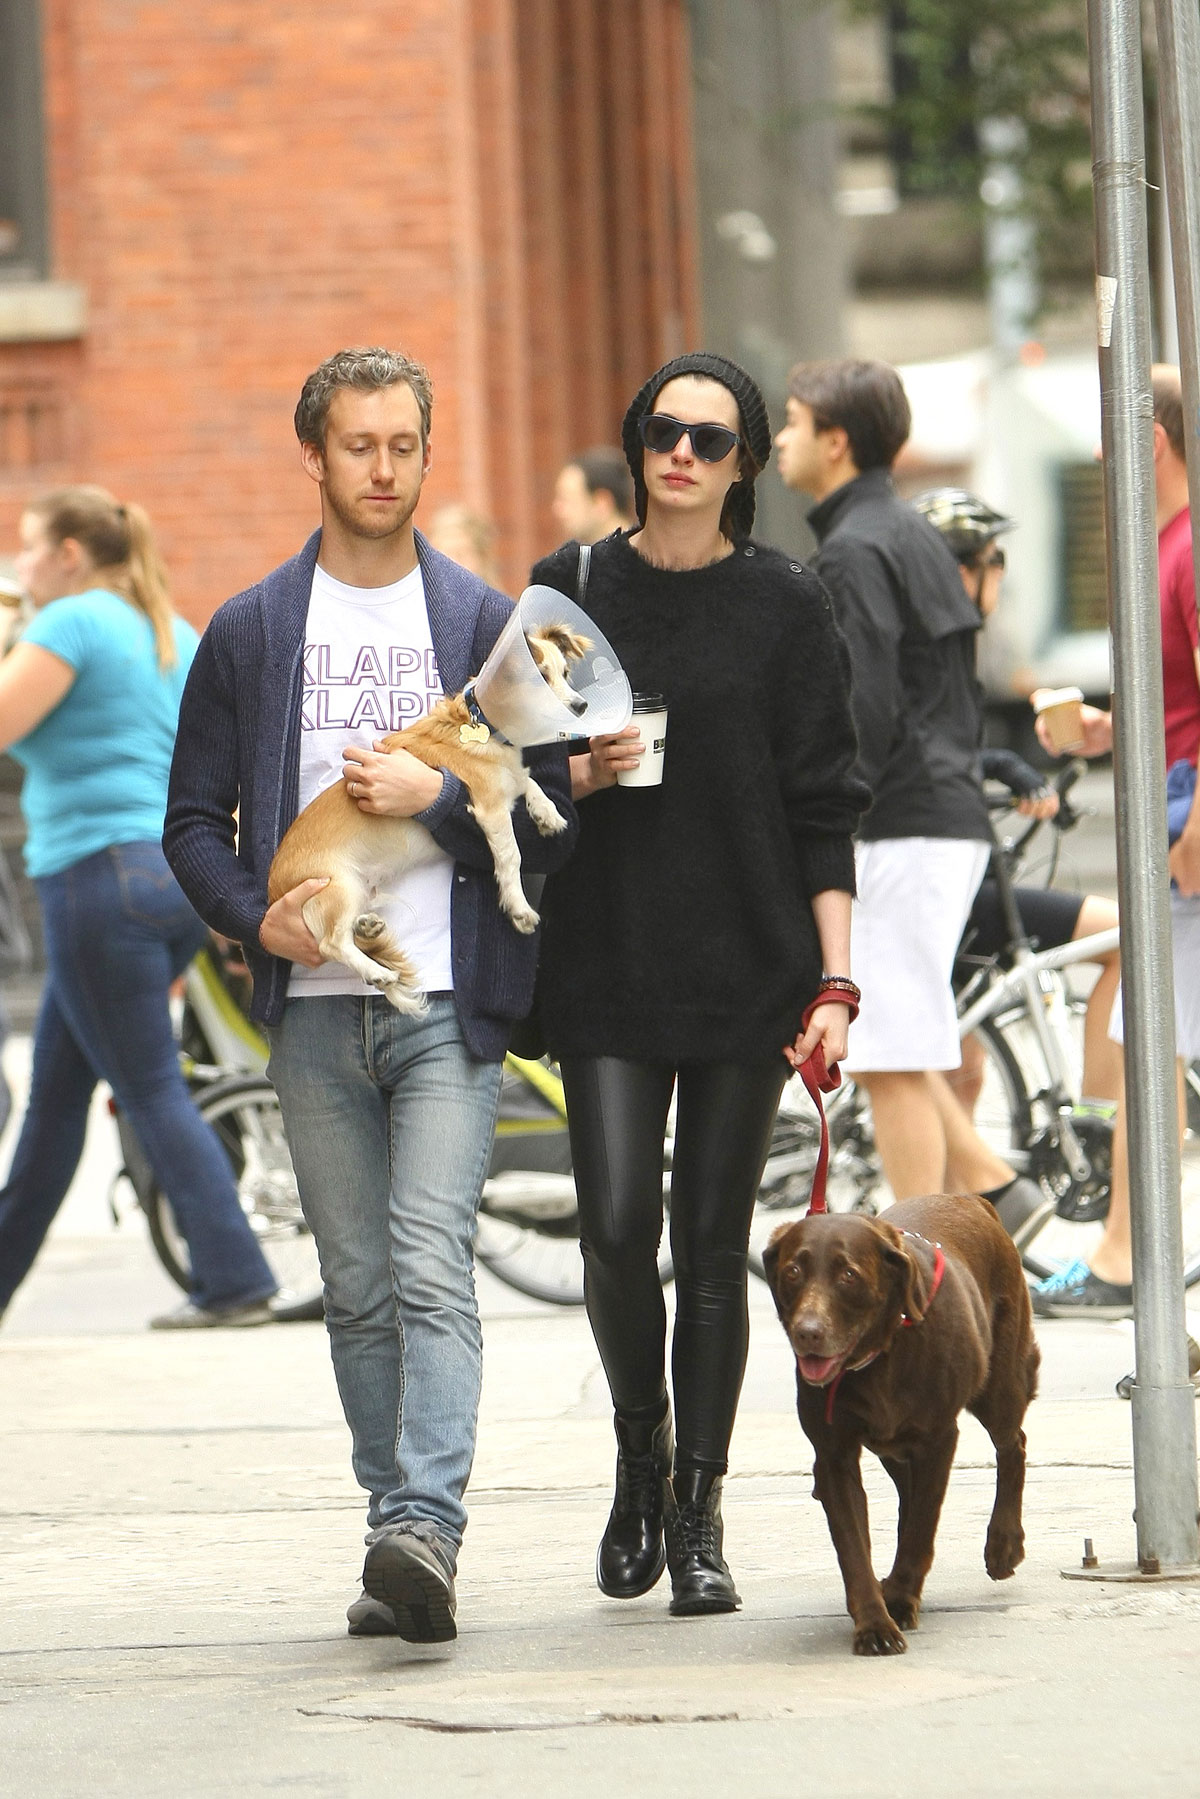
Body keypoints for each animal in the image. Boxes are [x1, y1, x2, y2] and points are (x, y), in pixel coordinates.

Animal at [271, 622, 590, 1014]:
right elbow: (511, 857)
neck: (482, 725)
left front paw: (547, 812)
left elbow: (526, 780)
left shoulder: (507, 781)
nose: (581, 706)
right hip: (337, 886)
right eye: (540, 678)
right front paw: (518, 907)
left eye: (565, 674)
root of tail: (272, 891)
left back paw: (367, 928)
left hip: (356, 890)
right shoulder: (490, 808)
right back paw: (377, 972)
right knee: (331, 943)